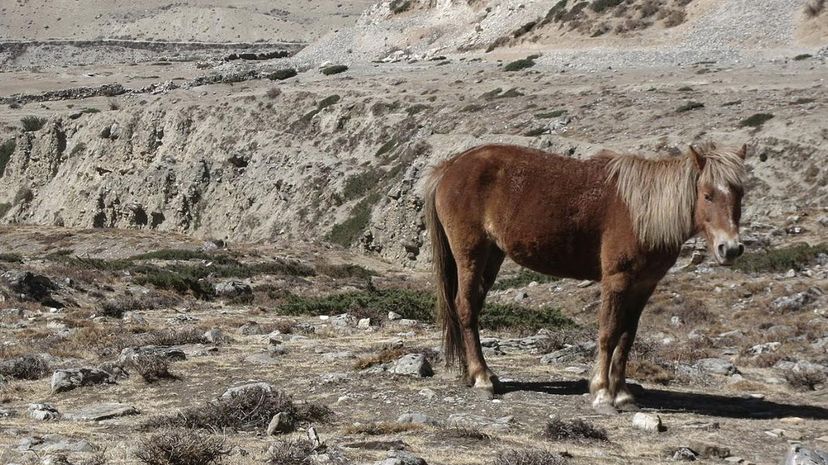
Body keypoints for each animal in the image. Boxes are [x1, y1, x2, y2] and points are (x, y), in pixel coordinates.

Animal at [424, 141, 748, 414]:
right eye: (707, 195)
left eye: (740, 195)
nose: (730, 248)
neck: (641, 211)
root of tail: (450, 166)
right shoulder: (617, 280)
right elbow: (608, 333)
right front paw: (603, 393)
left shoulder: (643, 286)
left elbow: (627, 337)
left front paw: (623, 394)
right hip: (471, 255)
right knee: (465, 308)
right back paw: (481, 378)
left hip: (492, 257)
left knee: (474, 307)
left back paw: (480, 374)